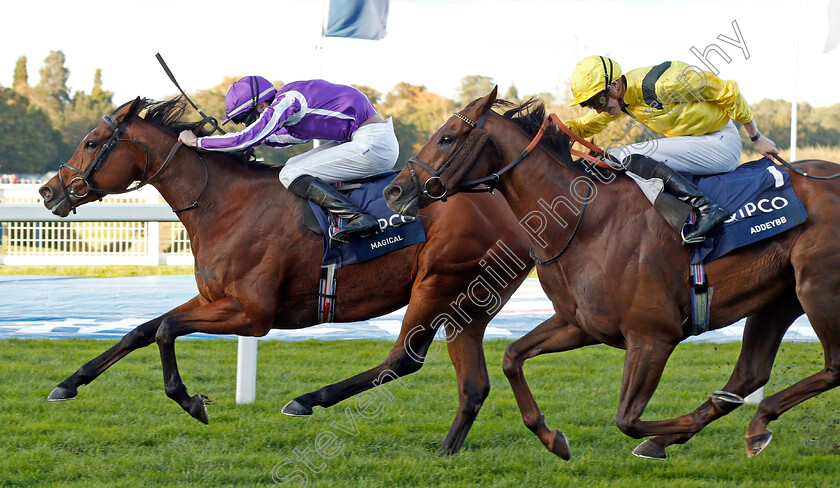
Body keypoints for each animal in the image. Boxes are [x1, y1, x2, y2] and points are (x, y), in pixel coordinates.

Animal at [37, 97, 532, 456]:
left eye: (92, 141)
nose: (47, 190)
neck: (222, 203)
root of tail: (508, 207)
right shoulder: (215, 299)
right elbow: (141, 330)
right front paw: (68, 383)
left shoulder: (252, 314)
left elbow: (165, 329)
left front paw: (191, 401)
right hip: (469, 304)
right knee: (472, 385)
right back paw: (447, 450)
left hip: (436, 284)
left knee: (403, 359)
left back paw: (307, 400)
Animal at [384, 88, 840, 462]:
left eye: (447, 136)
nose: (394, 190)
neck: (582, 223)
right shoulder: (581, 324)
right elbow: (513, 357)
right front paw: (553, 439)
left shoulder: (653, 337)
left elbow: (627, 419)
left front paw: (675, 431)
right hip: (778, 298)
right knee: (750, 374)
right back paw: (739, 425)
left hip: (818, 288)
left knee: (831, 367)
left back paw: (744, 422)